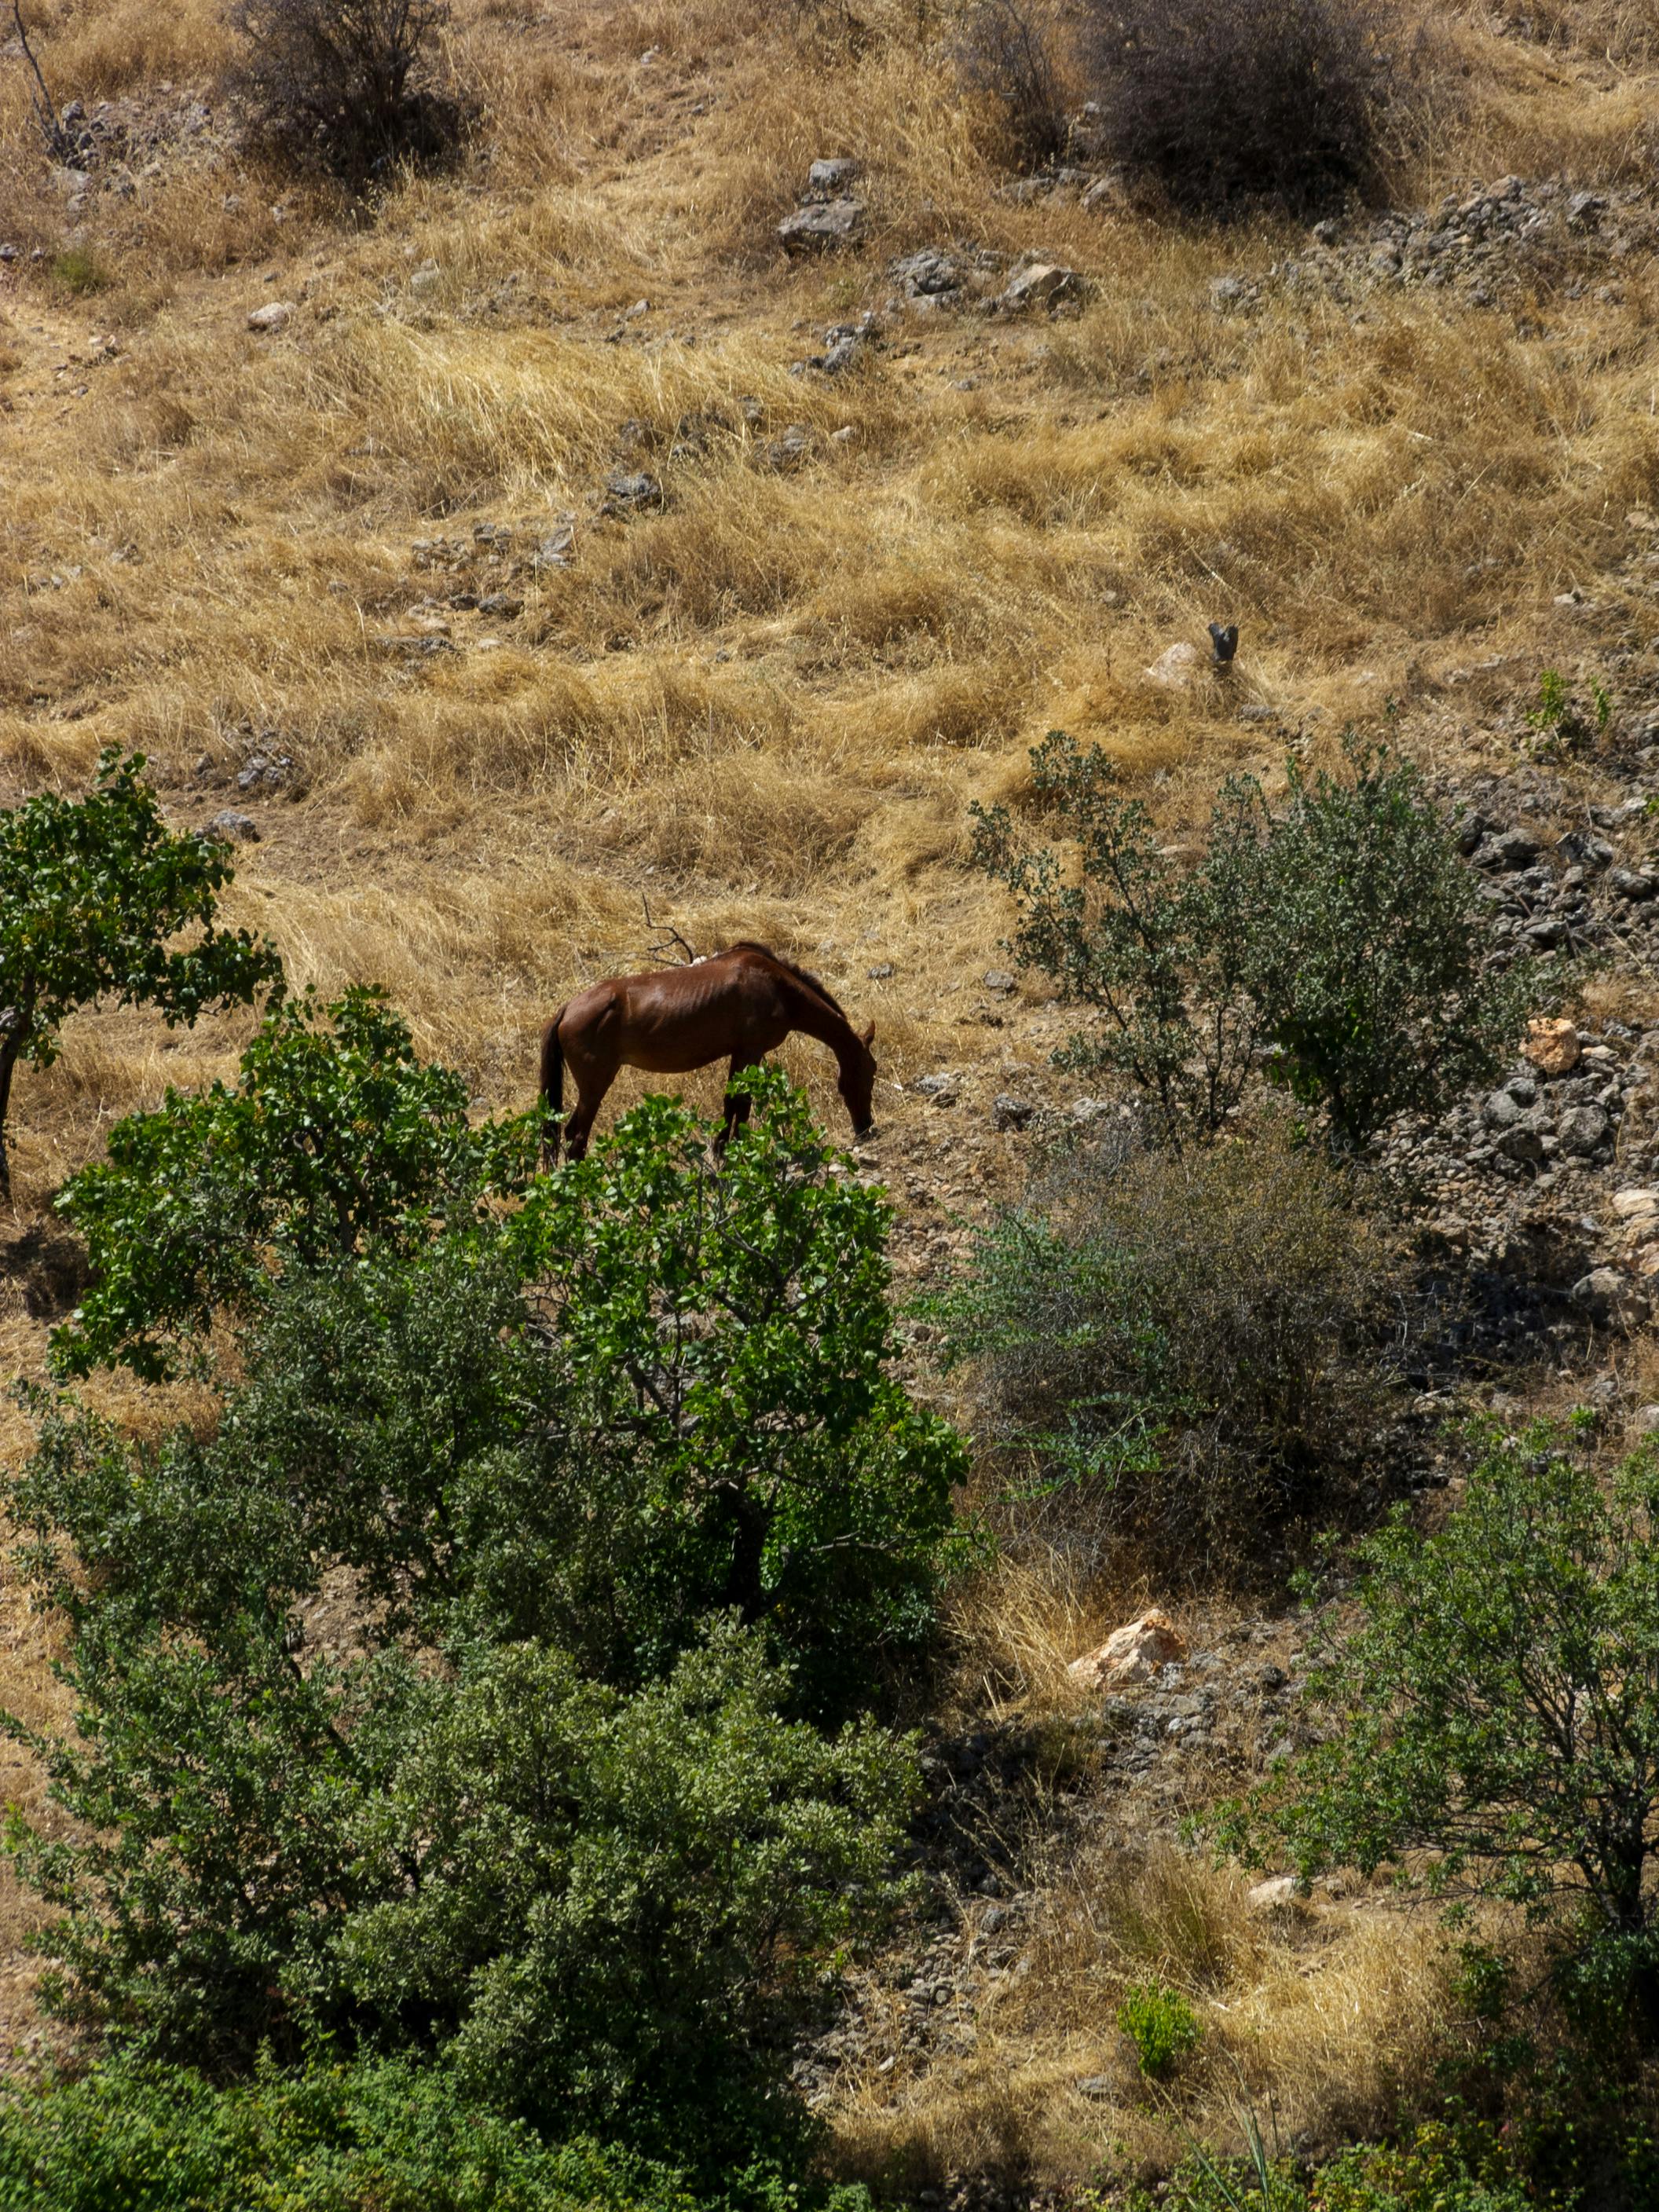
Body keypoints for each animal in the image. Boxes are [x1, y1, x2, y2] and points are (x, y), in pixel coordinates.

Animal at [546, 937, 884, 1167]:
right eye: (870, 1073)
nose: (865, 1126)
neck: (776, 986)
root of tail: (568, 1009)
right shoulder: (751, 1052)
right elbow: (742, 1103)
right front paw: (740, 1149)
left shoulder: (739, 1054)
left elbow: (730, 1101)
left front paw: (722, 1148)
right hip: (595, 1086)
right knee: (577, 1137)